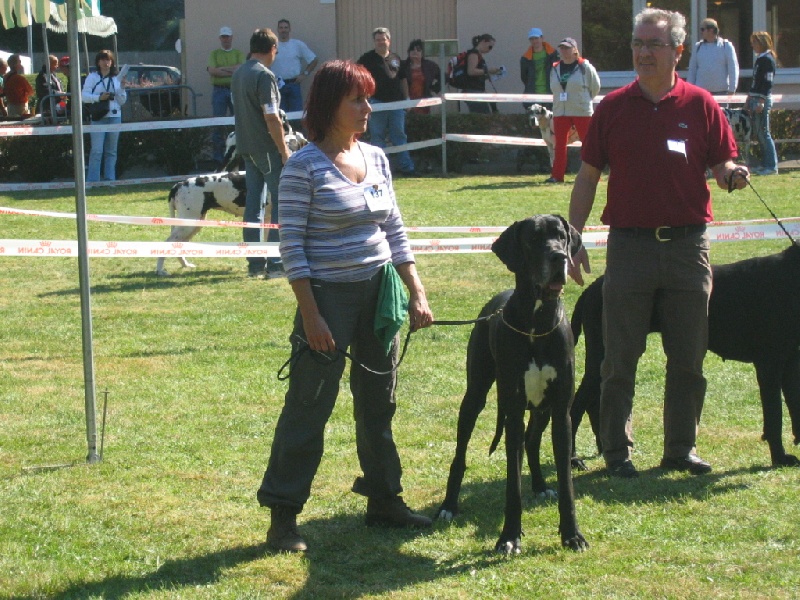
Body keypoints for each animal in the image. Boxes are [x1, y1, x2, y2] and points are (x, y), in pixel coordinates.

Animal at [437, 215, 588, 554]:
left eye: (561, 237)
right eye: (533, 239)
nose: (559, 257)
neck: (536, 323)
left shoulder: (561, 411)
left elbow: (566, 483)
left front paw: (572, 534)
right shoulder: (514, 410)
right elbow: (512, 484)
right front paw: (508, 537)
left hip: (542, 409)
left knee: (531, 443)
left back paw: (541, 486)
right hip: (476, 396)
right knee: (461, 454)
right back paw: (449, 505)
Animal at [570, 244, 800, 468]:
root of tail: (589, 290)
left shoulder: (791, 363)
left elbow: (794, 405)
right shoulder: (769, 363)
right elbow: (775, 416)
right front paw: (780, 457)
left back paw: (603, 448)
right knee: (576, 405)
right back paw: (573, 459)